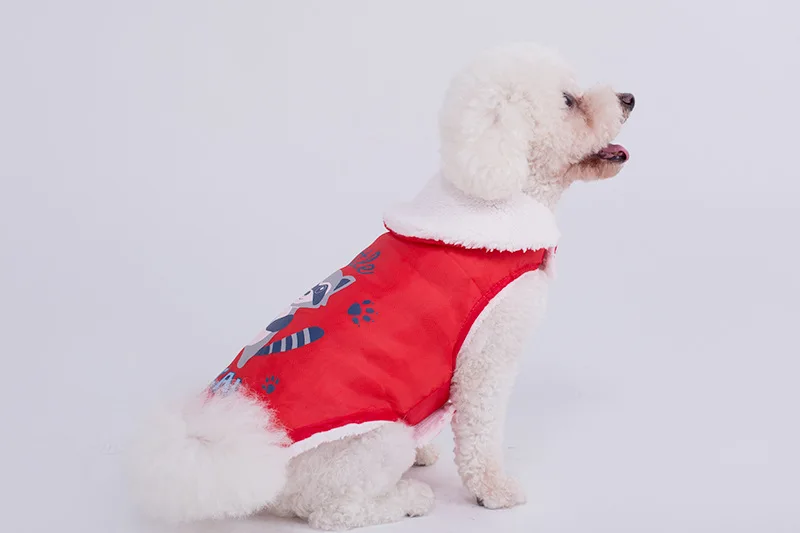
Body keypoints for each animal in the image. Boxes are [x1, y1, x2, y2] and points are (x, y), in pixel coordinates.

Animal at [129, 42, 635, 530]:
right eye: (569, 101)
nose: (629, 98)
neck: (495, 196)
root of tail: (229, 452)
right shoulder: (488, 360)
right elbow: (481, 437)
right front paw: (493, 491)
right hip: (373, 442)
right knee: (332, 511)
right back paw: (408, 498)